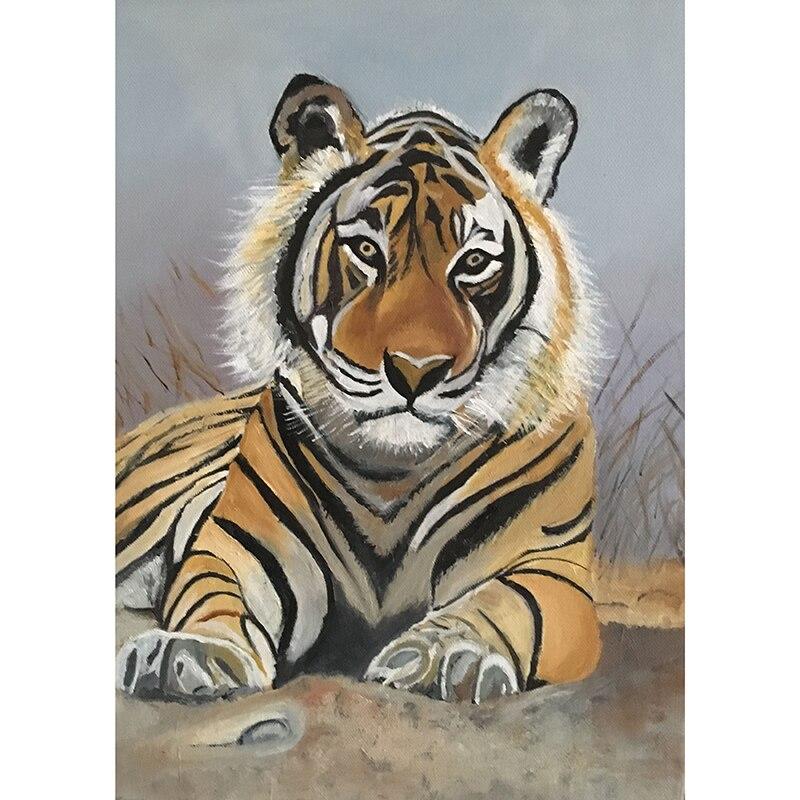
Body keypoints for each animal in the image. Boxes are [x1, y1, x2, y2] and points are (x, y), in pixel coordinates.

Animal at [116, 74, 602, 705]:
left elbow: (502, 602)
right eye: (367, 250)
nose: (417, 370)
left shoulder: (548, 566)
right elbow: (217, 597)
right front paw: (191, 651)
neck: (391, 475)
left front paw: (447, 656)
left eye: (473, 262)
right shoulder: (243, 543)